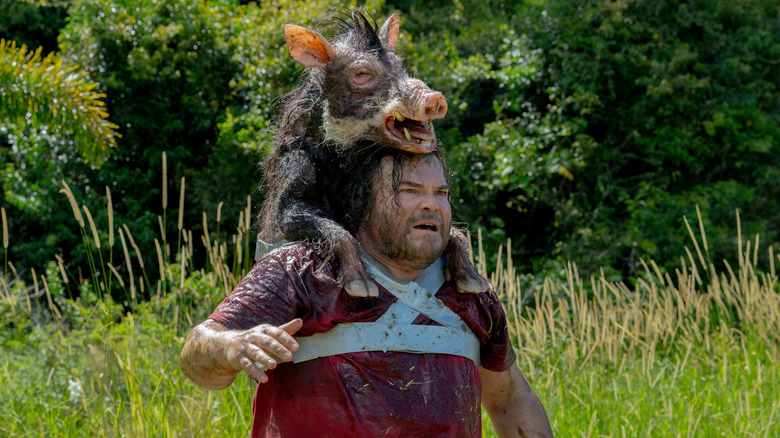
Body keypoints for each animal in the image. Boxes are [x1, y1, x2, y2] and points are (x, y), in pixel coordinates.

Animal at [258, 10, 487, 297]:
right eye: (362, 73)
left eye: (400, 65)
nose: (434, 98)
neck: (344, 162)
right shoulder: (292, 183)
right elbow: (335, 230)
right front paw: (362, 289)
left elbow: (458, 233)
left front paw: (475, 285)